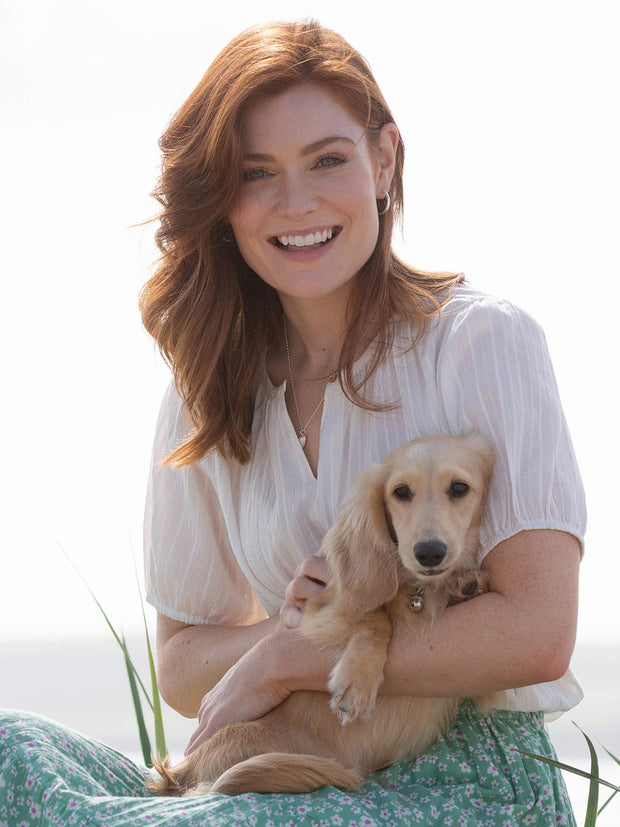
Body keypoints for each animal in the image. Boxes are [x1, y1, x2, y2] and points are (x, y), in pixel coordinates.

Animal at [149, 431, 495, 796]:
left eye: (459, 488)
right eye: (401, 492)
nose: (429, 552)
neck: (420, 589)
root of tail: (179, 773)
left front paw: (465, 583)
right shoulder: (316, 613)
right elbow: (375, 618)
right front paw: (357, 681)